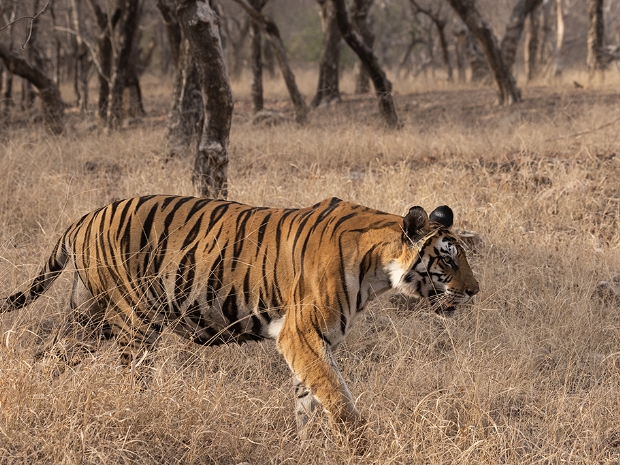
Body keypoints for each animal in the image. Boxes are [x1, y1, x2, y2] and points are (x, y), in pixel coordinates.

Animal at [0, 195, 480, 438]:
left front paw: (304, 445)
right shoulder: (301, 333)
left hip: (88, 316)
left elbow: (307, 397)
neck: (378, 267)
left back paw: (41, 397)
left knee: (50, 355)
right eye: (448, 259)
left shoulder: (313, 340)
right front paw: (358, 443)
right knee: (132, 376)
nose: (475, 291)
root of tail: (85, 217)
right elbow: (337, 396)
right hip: (134, 319)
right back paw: (139, 414)